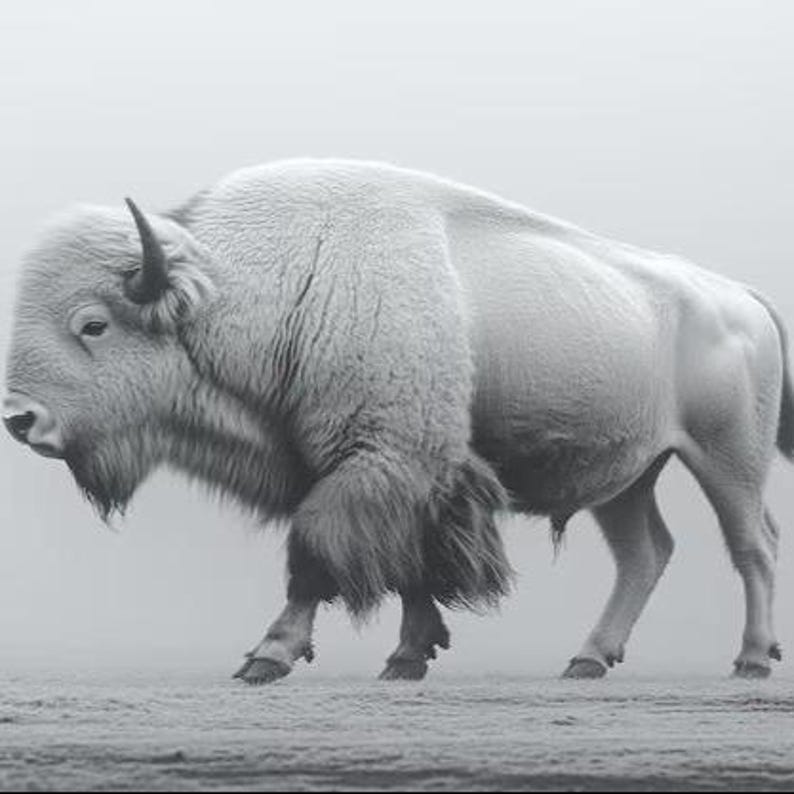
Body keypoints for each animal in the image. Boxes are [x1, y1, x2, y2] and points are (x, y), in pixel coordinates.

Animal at [4, 160, 789, 681]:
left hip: (728, 456)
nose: (19, 418)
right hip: (628, 477)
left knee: (751, 545)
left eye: (94, 323)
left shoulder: (381, 458)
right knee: (645, 554)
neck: (255, 292)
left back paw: (751, 660)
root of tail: (742, 297)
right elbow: (408, 562)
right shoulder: (390, 470)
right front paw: (409, 655)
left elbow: (316, 553)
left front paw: (268, 656)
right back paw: (588, 660)